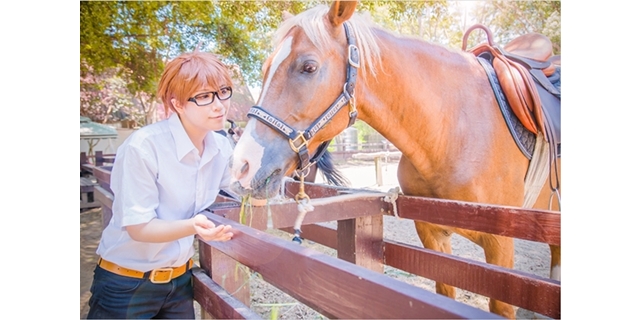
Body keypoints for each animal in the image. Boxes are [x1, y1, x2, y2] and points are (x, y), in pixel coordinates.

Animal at [228, 1, 556, 318]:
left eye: (308, 66)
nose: (242, 166)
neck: (454, 129)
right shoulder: (431, 233)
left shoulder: (501, 244)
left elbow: (502, 307)